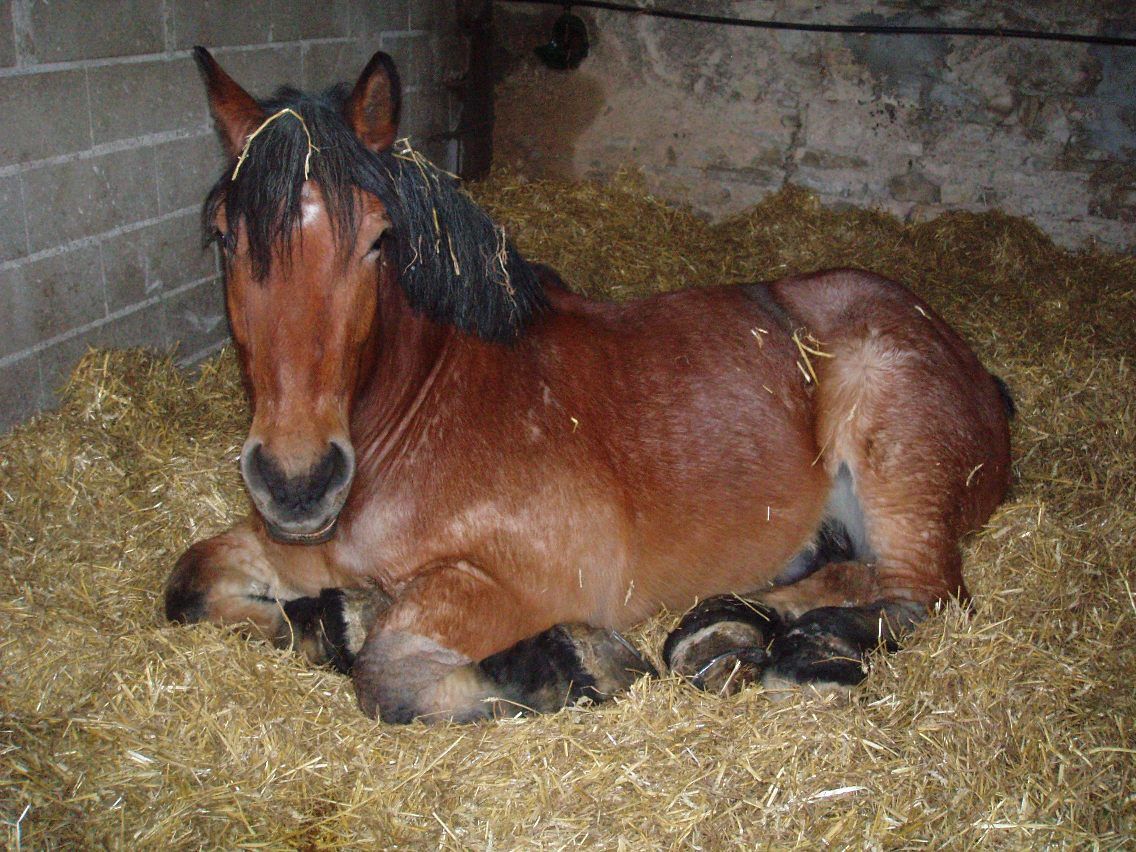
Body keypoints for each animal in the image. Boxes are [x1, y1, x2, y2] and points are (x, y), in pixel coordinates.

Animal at [165, 47, 1013, 724]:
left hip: (893, 465)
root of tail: (968, 361)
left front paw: (574, 666)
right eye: (225, 236)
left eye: (378, 240)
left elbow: (386, 674)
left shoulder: (517, 580)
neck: (421, 412)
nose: (298, 483)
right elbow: (191, 580)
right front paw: (317, 622)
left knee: (920, 592)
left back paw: (740, 633)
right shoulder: (303, 554)